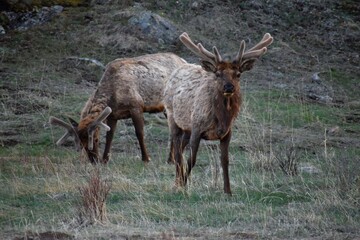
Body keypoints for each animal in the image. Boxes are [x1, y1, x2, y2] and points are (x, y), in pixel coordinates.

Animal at [49, 52, 186, 164]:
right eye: (80, 143)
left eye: (96, 139)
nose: (94, 160)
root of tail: (184, 61)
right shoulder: (113, 115)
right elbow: (110, 135)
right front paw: (105, 159)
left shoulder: (136, 106)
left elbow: (139, 133)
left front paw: (146, 158)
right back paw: (172, 159)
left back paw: (172, 159)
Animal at [164, 31, 272, 194]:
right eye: (218, 74)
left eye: (238, 74)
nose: (229, 87)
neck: (221, 119)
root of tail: (180, 67)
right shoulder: (197, 126)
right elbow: (192, 159)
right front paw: (184, 185)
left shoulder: (227, 133)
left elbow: (225, 161)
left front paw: (228, 191)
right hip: (172, 115)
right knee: (177, 151)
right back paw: (178, 182)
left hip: (187, 127)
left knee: (180, 149)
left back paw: (177, 180)